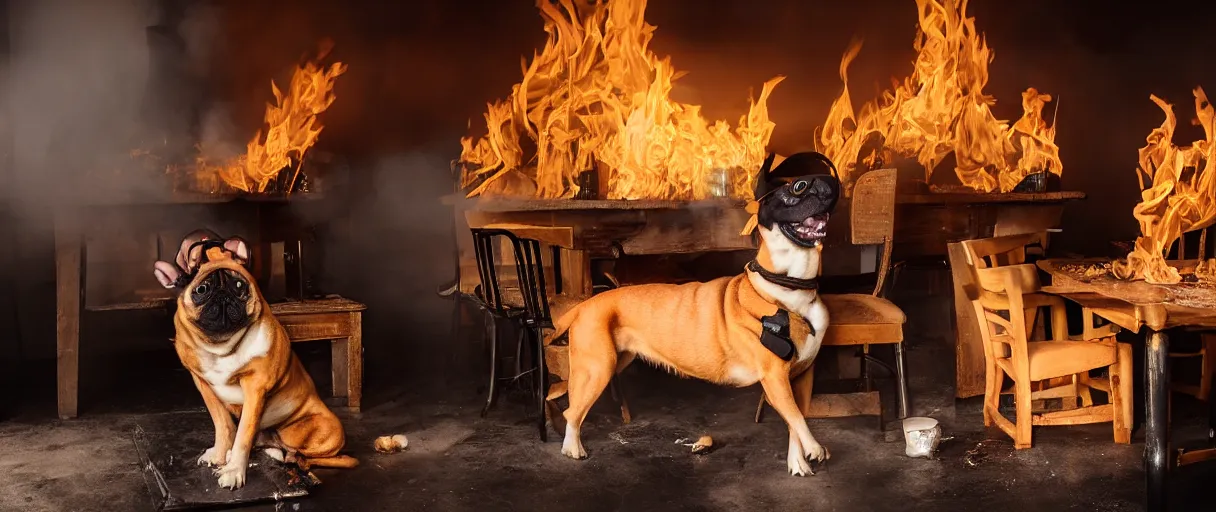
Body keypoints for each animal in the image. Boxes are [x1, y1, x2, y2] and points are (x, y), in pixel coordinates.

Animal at [152, 231, 355, 486]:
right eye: (202, 289)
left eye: (239, 285)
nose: (224, 296)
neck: (222, 345)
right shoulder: (204, 385)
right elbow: (223, 424)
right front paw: (221, 454)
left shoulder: (255, 387)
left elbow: (243, 434)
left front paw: (233, 471)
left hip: (320, 430)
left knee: (323, 457)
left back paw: (293, 458)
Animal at [549, 152, 836, 474]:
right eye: (796, 188)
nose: (827, 185)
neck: (789, 284)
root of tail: (583, 305)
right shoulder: (775, 378)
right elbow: (797, 418)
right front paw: (814, 448)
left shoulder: (795, 377)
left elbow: (793, 422)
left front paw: (797, 463)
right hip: (597, 367)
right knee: (573, 411)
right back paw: (573, 448)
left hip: (615, 359)